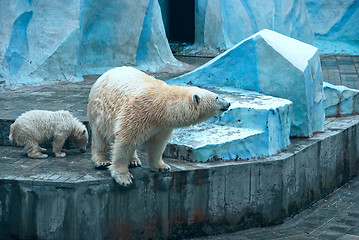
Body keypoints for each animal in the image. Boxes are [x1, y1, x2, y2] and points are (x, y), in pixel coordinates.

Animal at [88, 66, 232, 187]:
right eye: (217, 97)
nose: (228, 103)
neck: (161, 105)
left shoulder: (162, 125)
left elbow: (158, 143)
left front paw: (162, 166)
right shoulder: (137, 112)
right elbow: (125, 140)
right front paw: (124, 178)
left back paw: (134, 160)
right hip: (99, 109)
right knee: (99, 136)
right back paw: (101, 161)